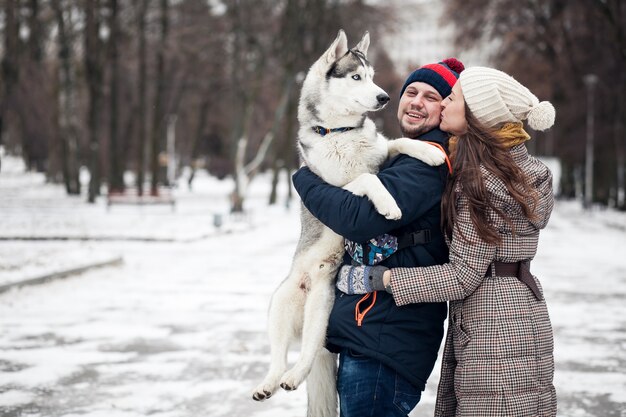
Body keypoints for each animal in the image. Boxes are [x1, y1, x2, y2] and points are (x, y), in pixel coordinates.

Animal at [252, 30, 444, 414]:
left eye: (372, 76)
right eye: (357, 77)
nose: (384, 97)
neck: (339, 130)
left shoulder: (381, 154)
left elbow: (399, 143)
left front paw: (430, 152)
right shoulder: (337, 188)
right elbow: (369, 180)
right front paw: (389, 205)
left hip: (320, 308)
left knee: (307, 350)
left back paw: (285, 379)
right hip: (283, 307)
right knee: (285, 356)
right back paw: (275, 381)